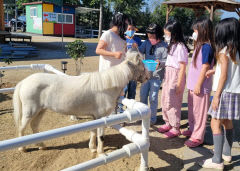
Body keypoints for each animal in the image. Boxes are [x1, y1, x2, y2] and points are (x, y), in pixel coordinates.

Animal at [13, 49, 149, 154]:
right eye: (142, 65)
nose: (148, 77)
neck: (106, 86)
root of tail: (24, 82)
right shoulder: (101, 117)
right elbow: (101, 136)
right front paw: (101, 152)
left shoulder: (95, 117)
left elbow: (93, 132)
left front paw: (92, 148)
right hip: (30, 111)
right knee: (22, 127)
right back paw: (22, 148)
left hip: (41, 110)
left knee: (34, 126)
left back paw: (42, 146)